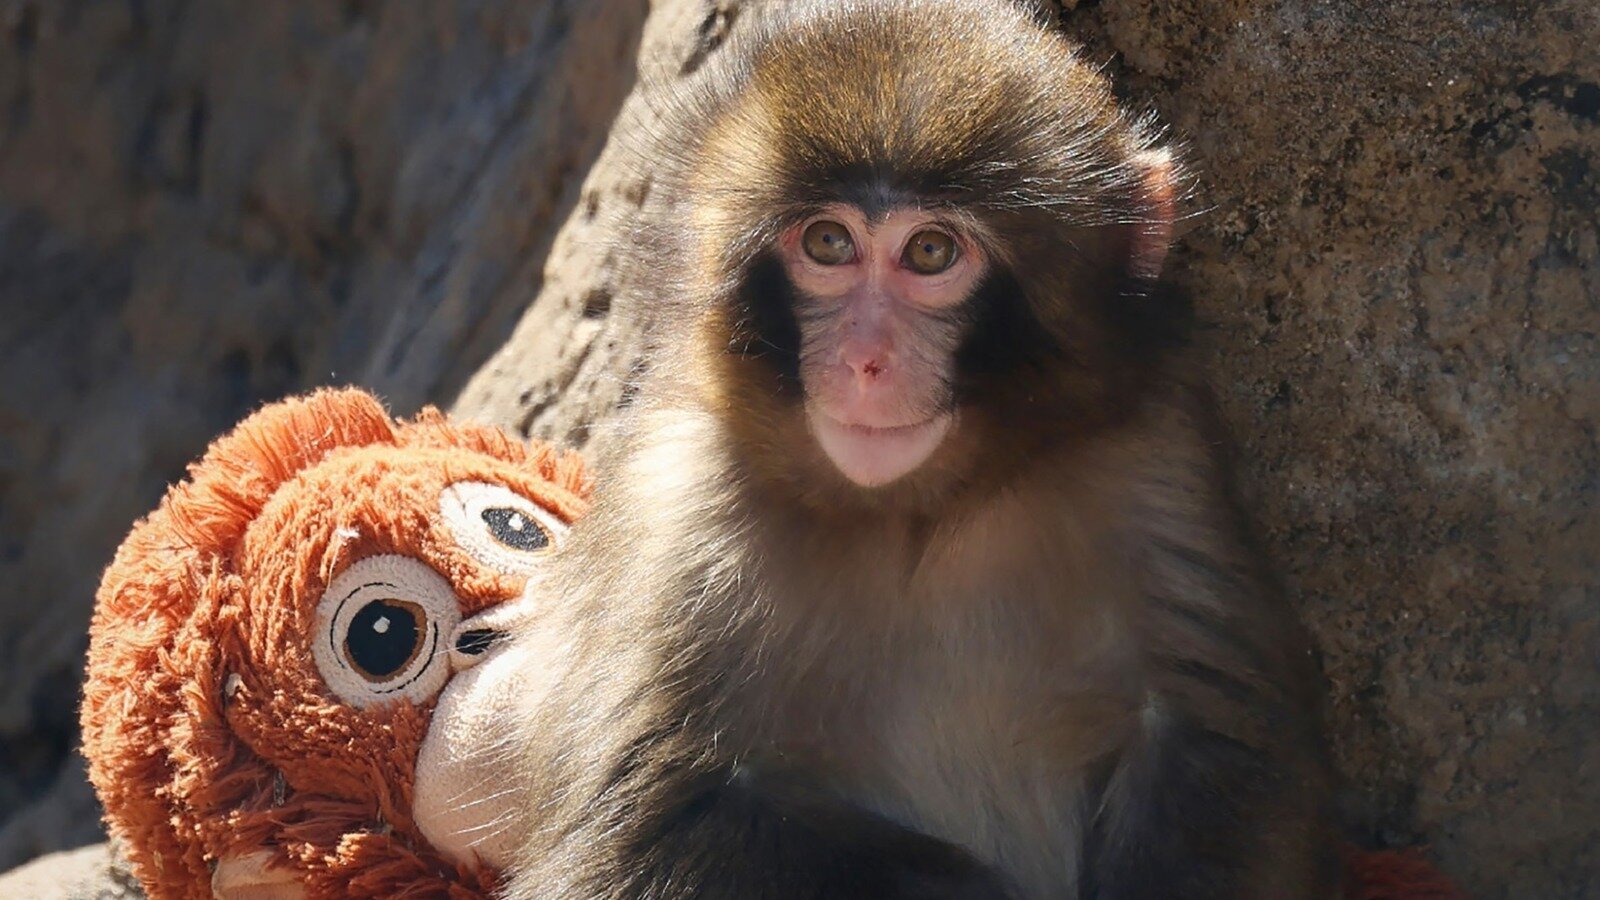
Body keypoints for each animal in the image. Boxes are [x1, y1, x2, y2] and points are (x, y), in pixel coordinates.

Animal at [481, 1, 1340, 897]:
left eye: (930, 252)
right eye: (828, 244)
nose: (867, 361)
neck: (917, 512)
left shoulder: (1154, 457)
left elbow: (1214, 745)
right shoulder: (679, 510)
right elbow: (643, 826)